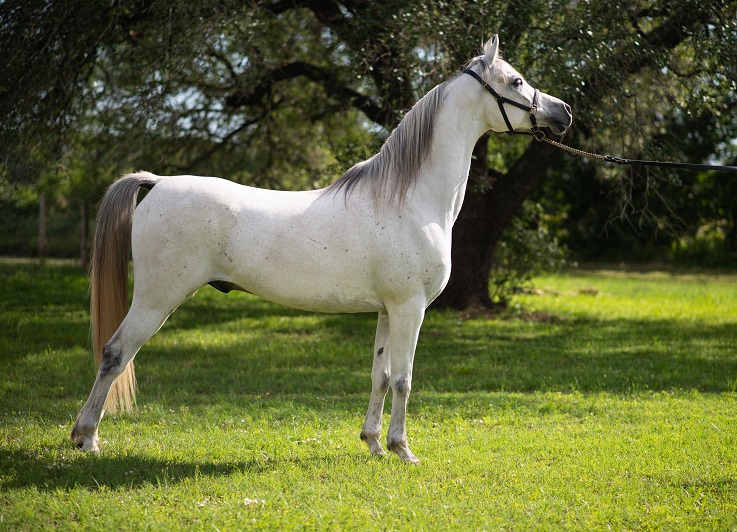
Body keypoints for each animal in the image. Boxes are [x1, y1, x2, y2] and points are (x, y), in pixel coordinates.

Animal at [72, 36, 572, 462]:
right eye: (516, 81)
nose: (564, 111)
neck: (410, 197)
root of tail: (157, 182)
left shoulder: (387, 310)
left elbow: (380, 375)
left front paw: (374, 444)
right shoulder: (410, 308)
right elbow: (404, 380)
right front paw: (402, 449)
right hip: (156, 300)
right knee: (115, 354)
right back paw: (87, 438)